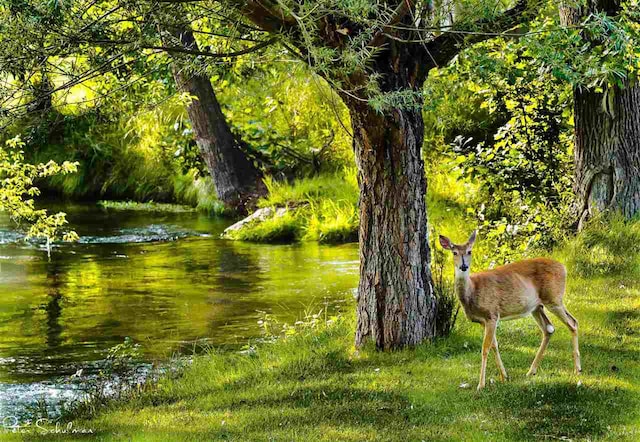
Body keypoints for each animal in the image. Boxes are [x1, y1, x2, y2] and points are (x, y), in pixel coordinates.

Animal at [440, 231, 580, 390]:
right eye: (454, 252)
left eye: (469, 251)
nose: (463, 266)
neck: (473, 290)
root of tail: (564, 267)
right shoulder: (483, 321)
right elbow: (494, 345)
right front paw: (504, 377)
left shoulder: (492, 314)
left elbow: (485, 348)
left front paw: (481, 385)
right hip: (537, 307)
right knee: (549, 328)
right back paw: (531, 371)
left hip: (554, 298)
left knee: (573, 323)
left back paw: (577, 370)